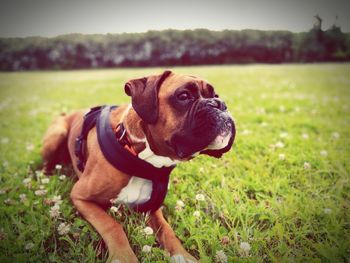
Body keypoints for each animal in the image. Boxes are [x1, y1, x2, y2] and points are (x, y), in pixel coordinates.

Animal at [42, 70, 237, 263]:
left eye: (215, 95)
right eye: (184, 96)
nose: (220, 104)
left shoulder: (152, 208)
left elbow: (167, 230)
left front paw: (183, 256)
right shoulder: (80, 197)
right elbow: (113, 225)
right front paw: (123, 257)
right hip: (56, 135)